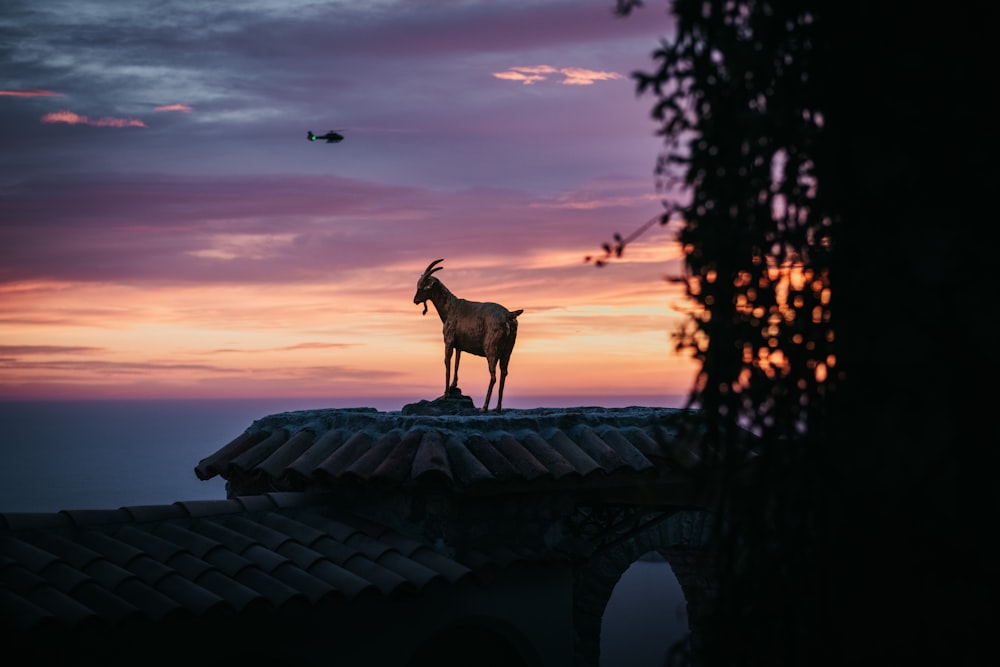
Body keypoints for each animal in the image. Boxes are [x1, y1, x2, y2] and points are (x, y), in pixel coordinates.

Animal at [414, 260, 524, 412]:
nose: (415, 300)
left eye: (422, 288)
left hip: (491, 349)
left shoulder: (448, 341)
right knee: (504, 373)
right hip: (507, 351)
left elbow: (447, 363)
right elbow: (457, 362)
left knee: (493, 376)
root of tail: (509, 315)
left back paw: (484, 407)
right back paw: (497, 408)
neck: (450, 307)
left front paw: (445, 395)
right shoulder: (458, 345)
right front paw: (453, 385)